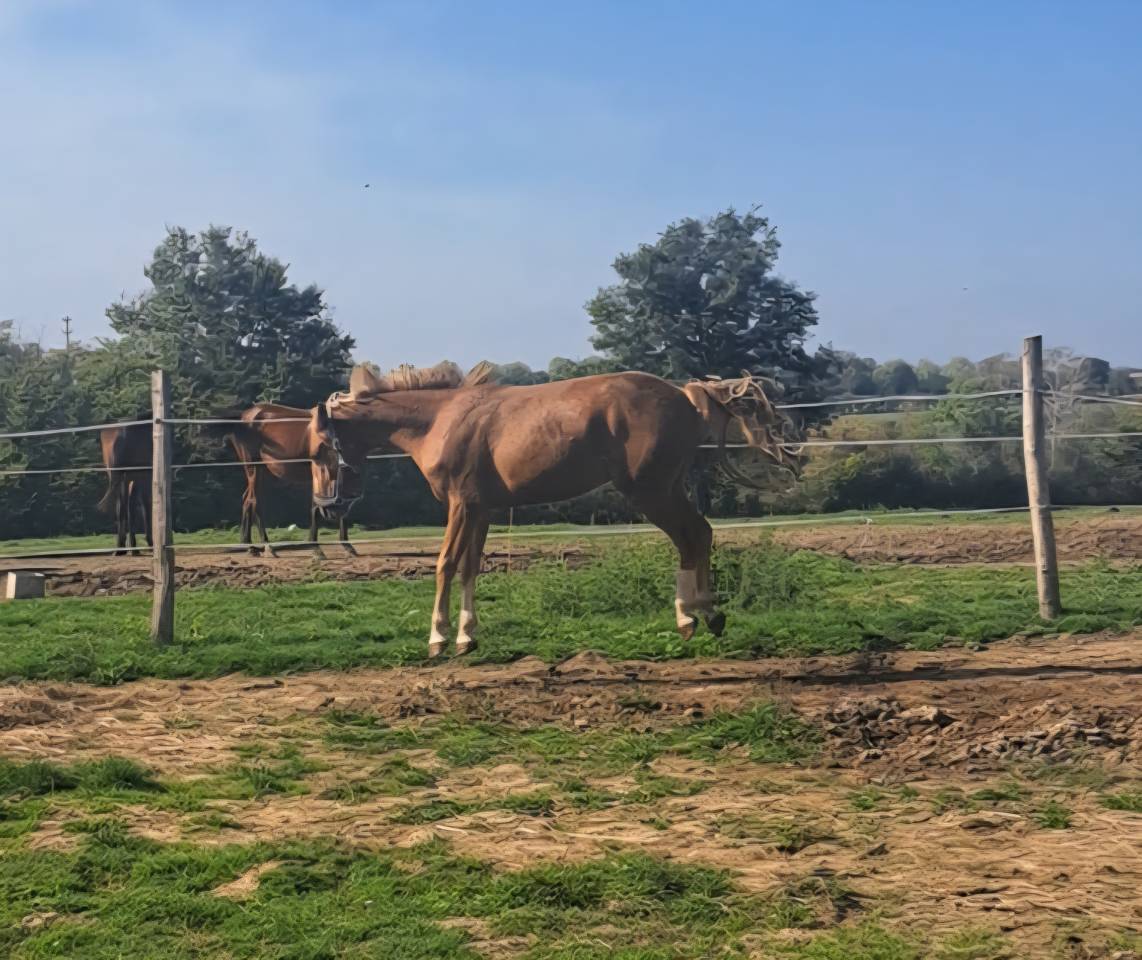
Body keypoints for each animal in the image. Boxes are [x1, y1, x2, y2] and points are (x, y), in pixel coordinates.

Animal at [98, 424, 152, 556]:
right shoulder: (145, 476)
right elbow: (145, 504)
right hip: (129, 477)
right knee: (127, 506)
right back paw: (130, 548)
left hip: (118, 477)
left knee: (121, 508)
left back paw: (120, 548)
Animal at [310, 364, 798, 657]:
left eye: (319, 449)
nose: (328, 507)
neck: (442, 420)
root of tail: (688, 396)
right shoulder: (483, 510)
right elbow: (470, 568)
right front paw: (467, 635)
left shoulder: (461, 505)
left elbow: (445, 564)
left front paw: (438, 637)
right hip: (663, 488)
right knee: (701, 533)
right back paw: (706, 614)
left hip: (649, 491)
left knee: (693, 535)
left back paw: (691, 615)